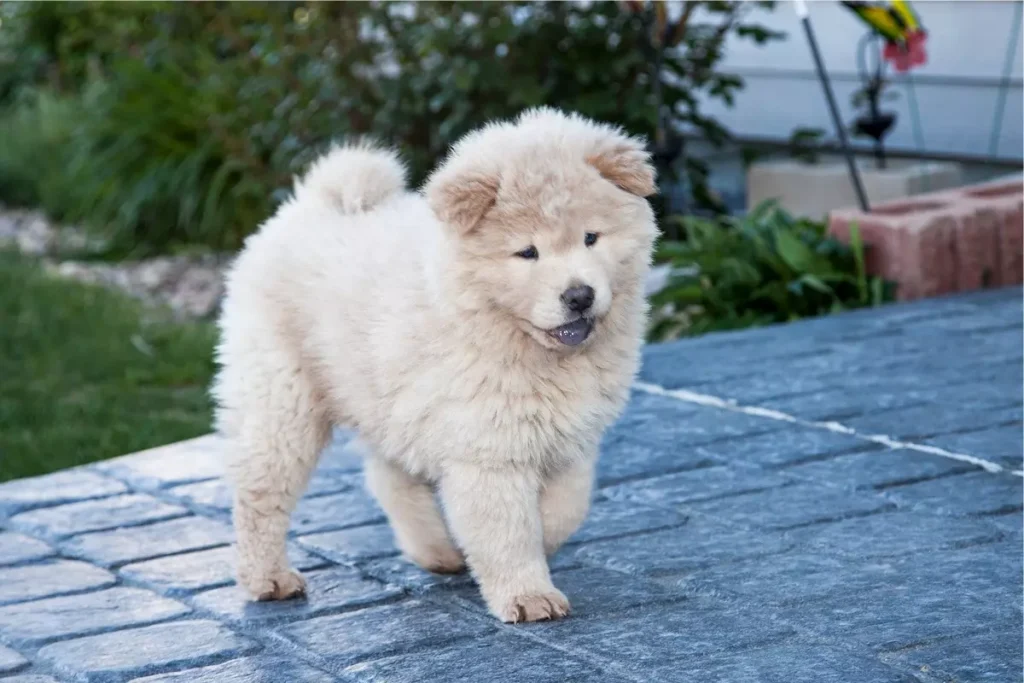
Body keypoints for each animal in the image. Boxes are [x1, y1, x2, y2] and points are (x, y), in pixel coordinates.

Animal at [212, 108, 655, 626]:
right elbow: (507, 528)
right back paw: (268, 579)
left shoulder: (571, 439)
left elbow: (566, 510)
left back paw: (437, 550)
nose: (579, 296)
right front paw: (528, 595)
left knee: (389, 477)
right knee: (260, 492)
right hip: (283, 399)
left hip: (387, 398)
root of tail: (311, 202)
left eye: (591, 238)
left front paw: (540, 545)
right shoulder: (488, 448)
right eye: (527, 253)